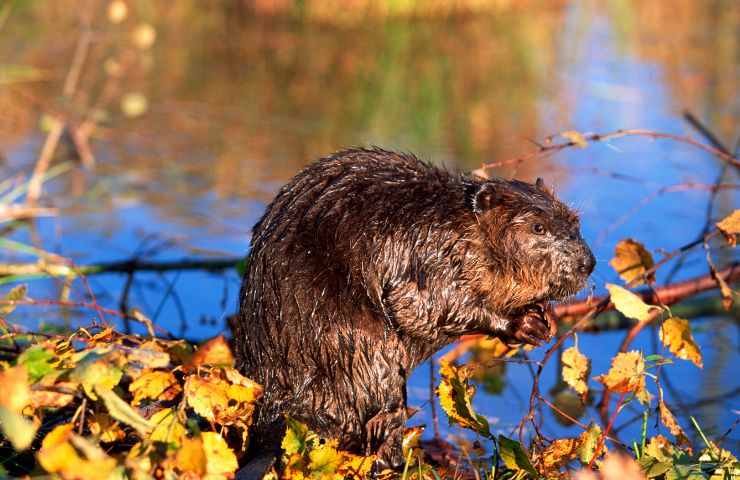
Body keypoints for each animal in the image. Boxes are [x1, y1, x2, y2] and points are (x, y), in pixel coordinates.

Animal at [236, 149, 596, 472]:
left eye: (574, 221)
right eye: (538, 228)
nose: (587, 264)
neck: (462, 225)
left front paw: (543, 320)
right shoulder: (432, 256)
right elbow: (420, 307)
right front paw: (522, 324)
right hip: (363, 354)